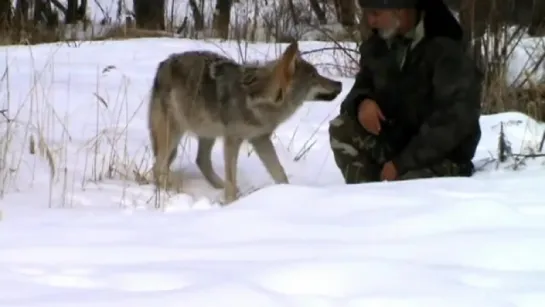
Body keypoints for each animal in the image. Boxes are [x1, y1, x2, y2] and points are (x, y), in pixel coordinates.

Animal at [147, 41, 342, 205]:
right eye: (315, 77)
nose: (340, 83)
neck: (258, 99)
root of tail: (163, 64)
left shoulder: (260, 139)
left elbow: (280, 173)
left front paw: (287, 193)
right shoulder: (232, 140)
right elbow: (232, 179)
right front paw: (232, 203)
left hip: (207, 132)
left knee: (200, 161)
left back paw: (217, 187)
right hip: (174, 133)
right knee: (158, 167)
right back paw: (170, 190)